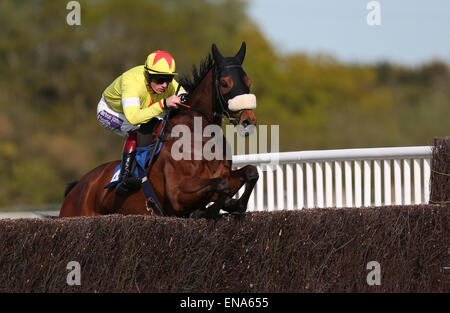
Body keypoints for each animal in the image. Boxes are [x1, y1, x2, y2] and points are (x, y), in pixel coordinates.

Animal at [59, 41, 258, 218]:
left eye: (248, 81)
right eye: (225, 83)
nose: (248, 121)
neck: (198, 137)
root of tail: (78, 187)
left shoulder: (224, 174)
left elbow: (250, 172)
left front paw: (233, 204)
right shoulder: (177, 194)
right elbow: (221, 185)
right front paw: (206, 211)